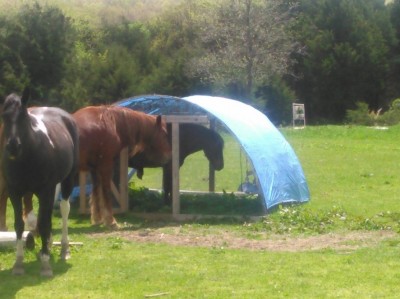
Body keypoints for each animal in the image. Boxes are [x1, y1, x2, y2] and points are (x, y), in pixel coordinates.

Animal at [1, 90, 79, 278]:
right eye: (4, 117)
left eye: (23, 116)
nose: (13, 146)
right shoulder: (15, 192)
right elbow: (19, 224)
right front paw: (19, 262)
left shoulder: (46, 190)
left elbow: (43, 224)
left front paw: (45, 265)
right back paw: (48, 245)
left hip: (66, 181)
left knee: (64, 210)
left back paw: (64, 249)